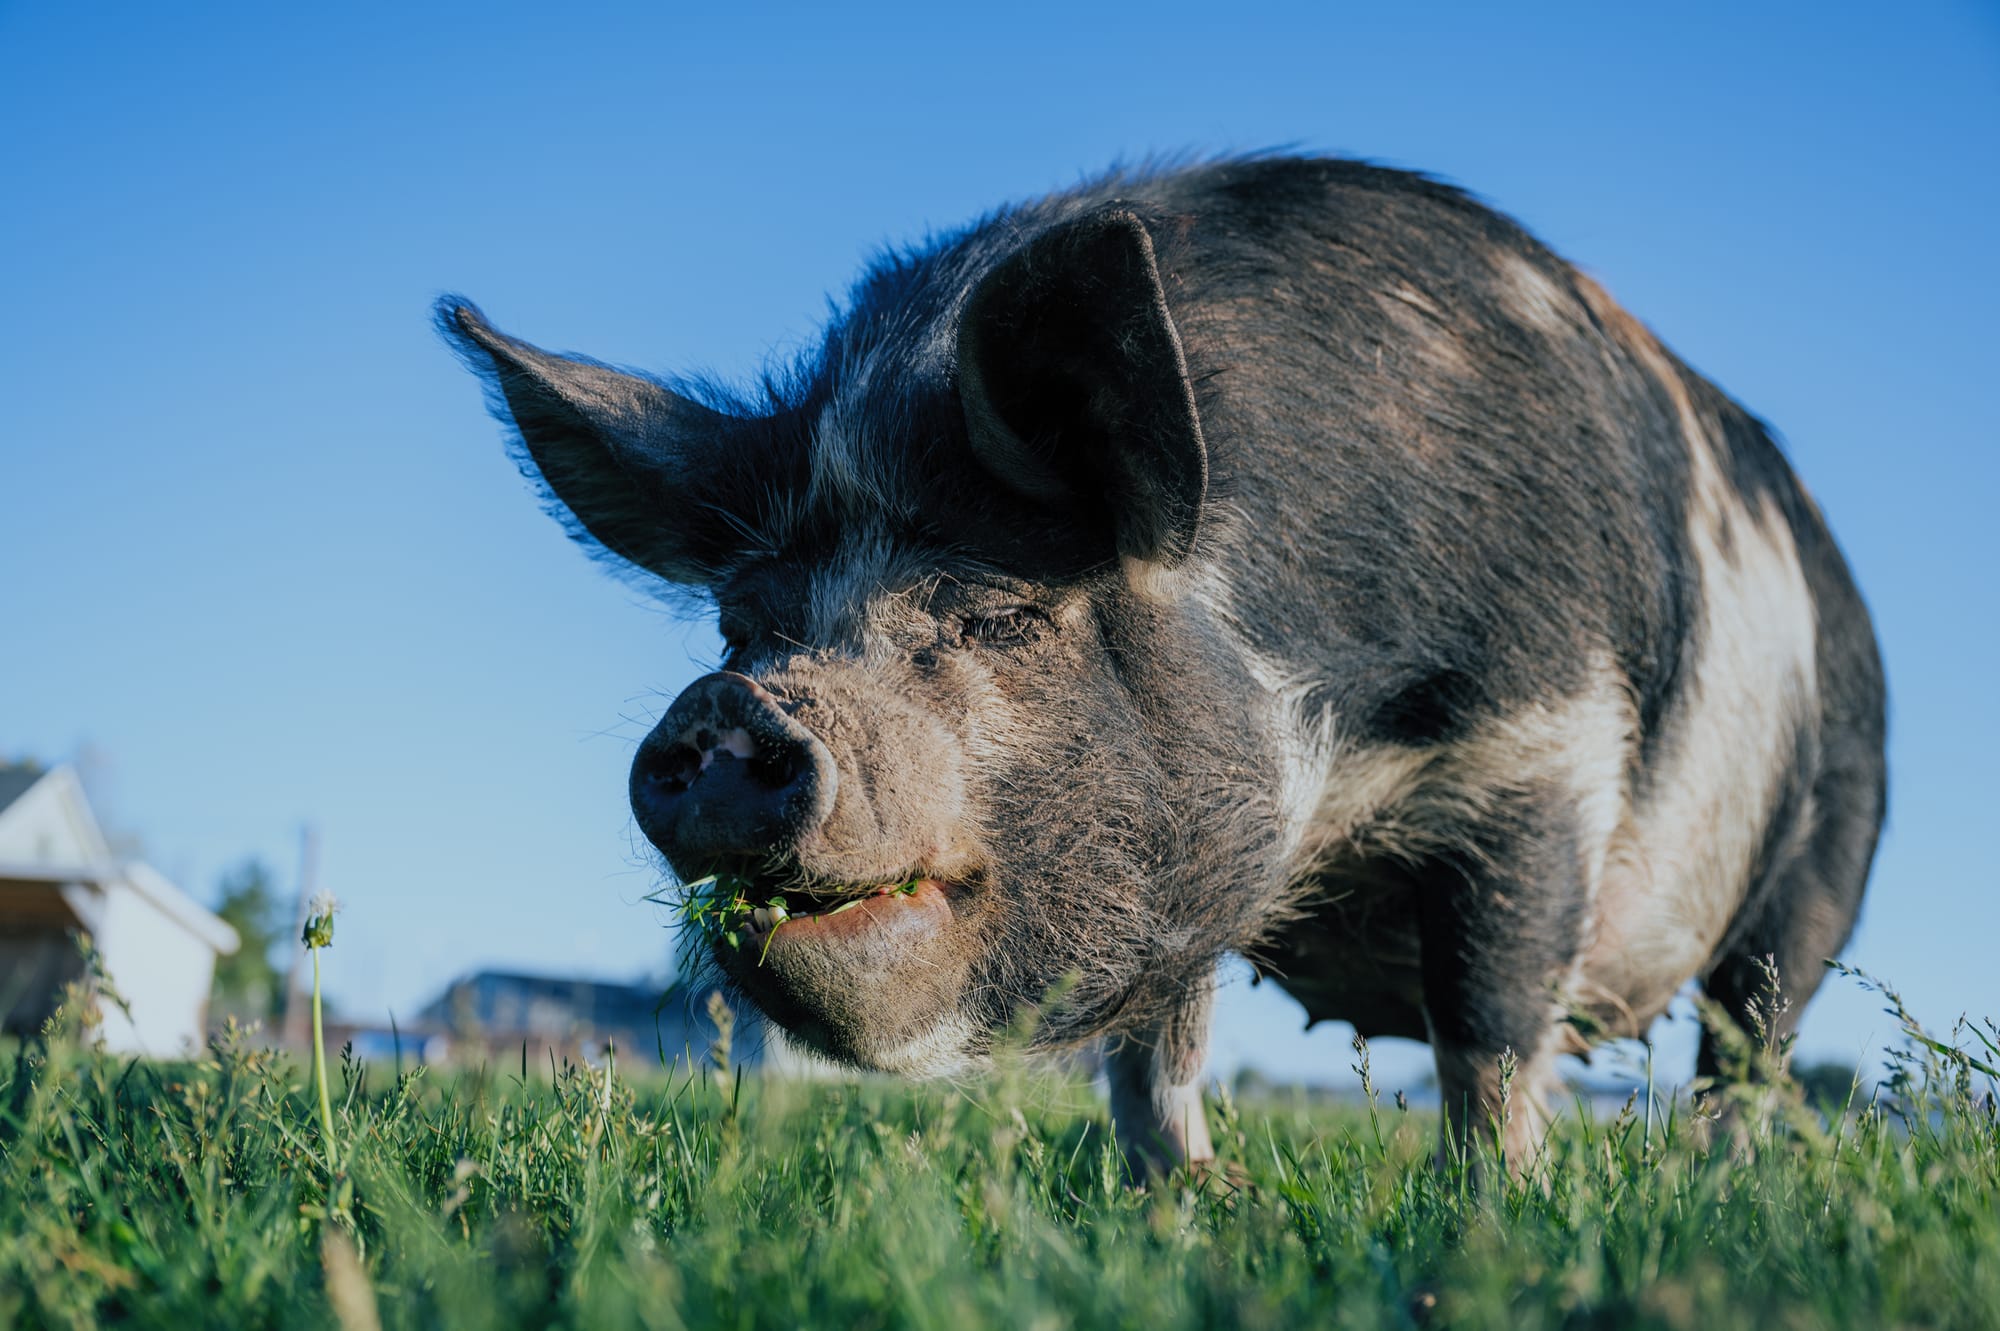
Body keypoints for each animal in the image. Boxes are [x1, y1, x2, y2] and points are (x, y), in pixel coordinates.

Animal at [440, 155, 1885, 1175]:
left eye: (1001, 615)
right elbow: (1151, 1051)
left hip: (1827, 850)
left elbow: (1486, 1022)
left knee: (1747, 1046)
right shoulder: (1187, 844)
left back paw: (1708, 1188)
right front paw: (1182, 1200)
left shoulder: (1542, 743)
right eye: (743, 627)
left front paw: (1491, 1211)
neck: (1340, 768)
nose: (733, 706)